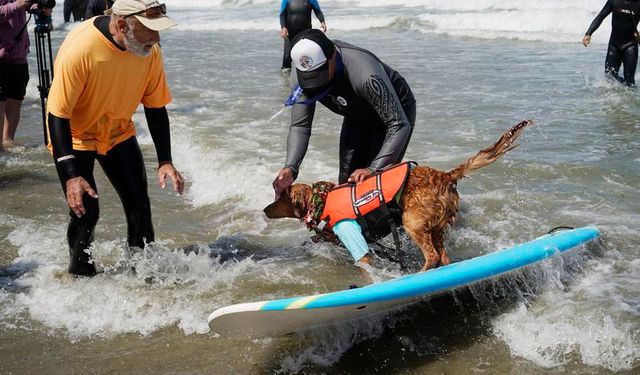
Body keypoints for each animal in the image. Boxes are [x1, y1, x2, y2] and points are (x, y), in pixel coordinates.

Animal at [262, 122, 532, 272]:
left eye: (279, 198)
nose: (264, 209)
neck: (323, 199)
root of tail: (446, 176)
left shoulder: (352, 234)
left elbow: (363, 259)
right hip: (436, 226)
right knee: (444, 257)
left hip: (412, 222)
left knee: (433, 256)